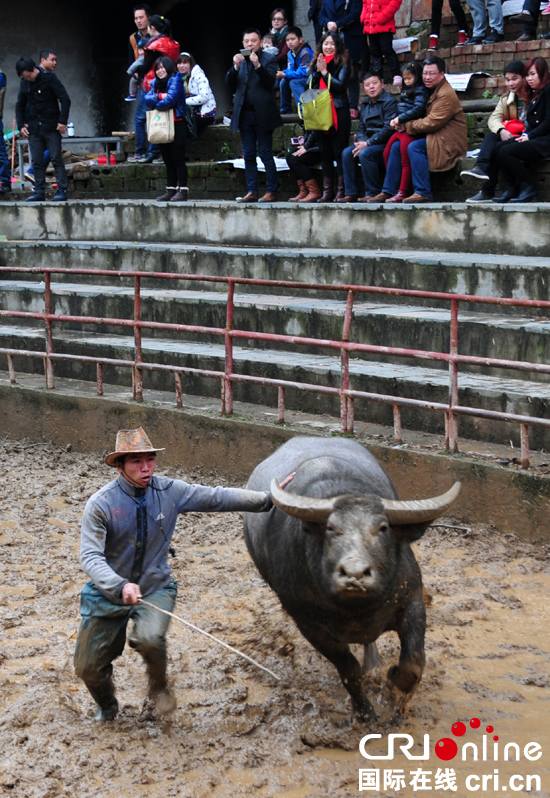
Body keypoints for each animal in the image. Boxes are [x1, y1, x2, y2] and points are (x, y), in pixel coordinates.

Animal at [244, 438, 464, 724]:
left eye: (383, 528)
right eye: (331, 528)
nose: (355, 574)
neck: (358, 610)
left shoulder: (413, 600)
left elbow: (414, 663)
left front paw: (393, 681)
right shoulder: (309, 625)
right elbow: (349, 670)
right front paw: (365, 713)